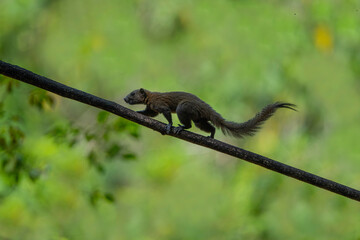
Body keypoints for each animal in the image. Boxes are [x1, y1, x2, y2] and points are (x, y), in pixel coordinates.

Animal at [124, 88, 296, 138]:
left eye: (132, 93)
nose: (125, 98)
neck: (150, 97)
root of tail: (207, 109)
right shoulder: (152, 109)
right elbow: (148, 114)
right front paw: (138, 112)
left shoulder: (159, 105)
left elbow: (166, 113)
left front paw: (169, 126)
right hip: (200, 120)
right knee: (210, 127)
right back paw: (211, 136)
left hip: (183, 109)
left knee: (189, 125)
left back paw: (181, 127)